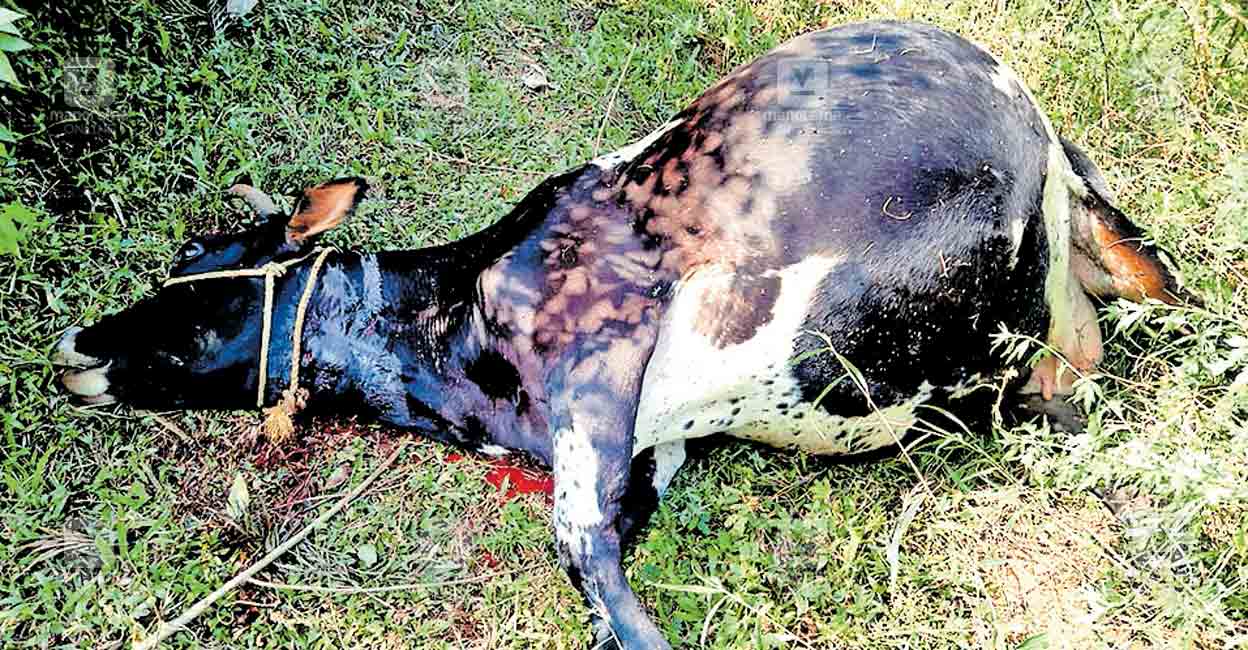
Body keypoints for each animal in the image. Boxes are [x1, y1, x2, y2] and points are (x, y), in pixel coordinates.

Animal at [54, 20, 1186, 649]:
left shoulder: (598, 363)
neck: (452, 328)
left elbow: (593, 570)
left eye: (194, 255)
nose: (74, 347)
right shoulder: (645, 457)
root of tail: (1042, 140)